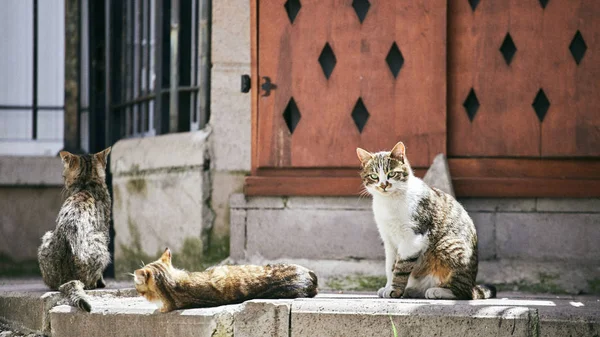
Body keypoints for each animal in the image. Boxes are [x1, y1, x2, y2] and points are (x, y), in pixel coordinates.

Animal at [37, 148, 112, 312]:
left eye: (63, 175)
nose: (64, 181)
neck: (87, 182)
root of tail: (69, 280)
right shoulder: (106, 230)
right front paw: (102, 282)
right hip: (100, 240)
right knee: (89, 282)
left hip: (47, 237)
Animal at [358, 140, 494, 298]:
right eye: (374, 176)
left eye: (391, 174)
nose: (383, 185)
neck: (389, 201)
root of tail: (472, 283)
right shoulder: (389, 239)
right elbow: (390, 266)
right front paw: (387, 287)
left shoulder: (413, 238)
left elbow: (401, 267)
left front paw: (394, 290)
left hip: (448, 244)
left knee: (464, 293)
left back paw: (438, 291)